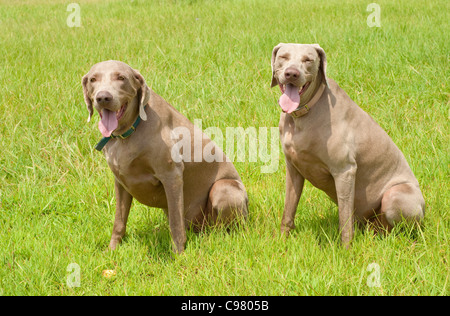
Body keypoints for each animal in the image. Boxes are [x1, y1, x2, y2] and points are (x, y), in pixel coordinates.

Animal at [270, 43, 426, 247]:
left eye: (308, 59)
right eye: (283, 56)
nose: (292, 74)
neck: (303, 115)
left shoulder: (344, 170)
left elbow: (344, 219)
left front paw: (346, 249)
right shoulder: (294, 168)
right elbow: (288, 210)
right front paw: (282, 241)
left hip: (396, 195)